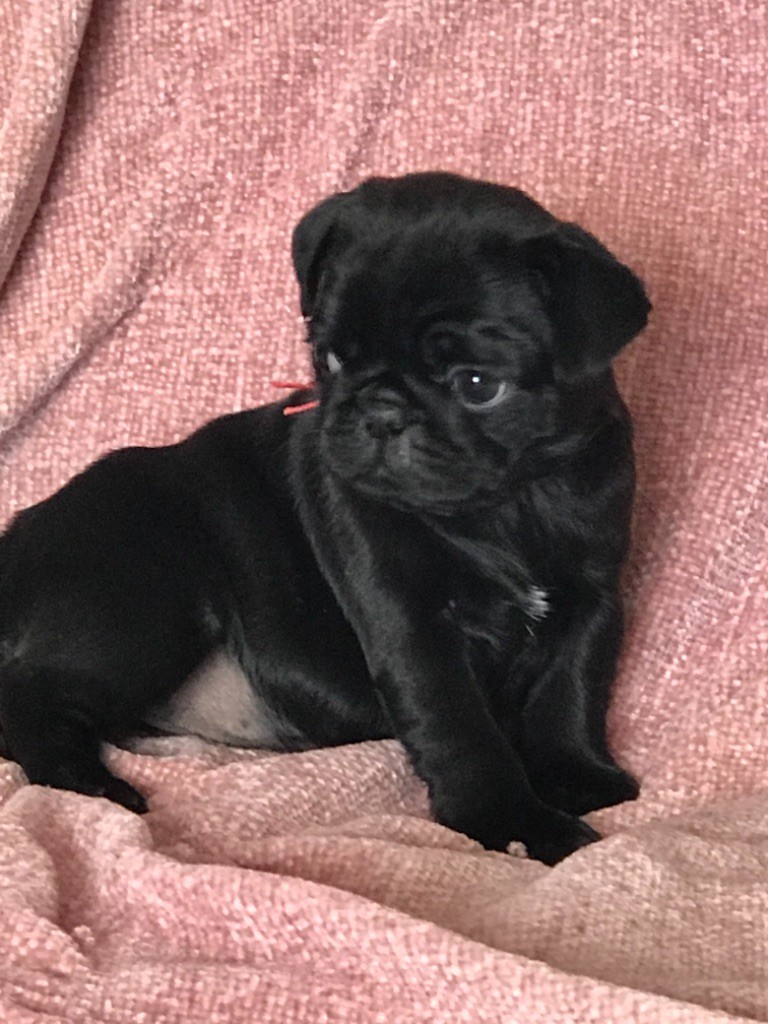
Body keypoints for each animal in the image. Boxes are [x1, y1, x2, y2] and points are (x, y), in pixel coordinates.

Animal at [0, 172, 650, 864]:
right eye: (330, 359)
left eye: (478, 384)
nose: (382, 410)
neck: (509, 503)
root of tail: (20, 534)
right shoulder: (412, 624)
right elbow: (458, 724)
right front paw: (513, 820)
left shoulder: (591, 598)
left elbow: (571, 691)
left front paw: (576, 775)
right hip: (143, 601)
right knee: (29, 695)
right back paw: (88, 783)